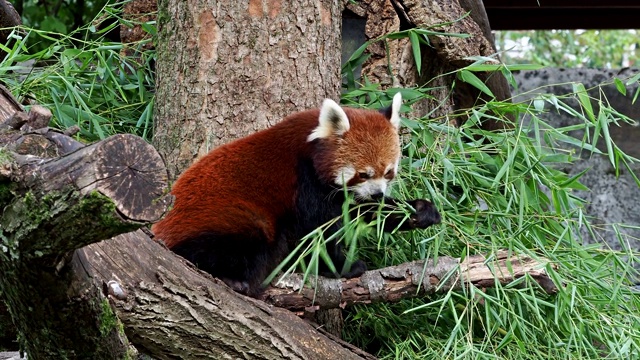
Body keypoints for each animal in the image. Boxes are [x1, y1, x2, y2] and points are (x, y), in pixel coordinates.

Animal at [151, 94, 440, 296]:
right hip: (227, 220)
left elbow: (358, 212)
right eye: (363, 174)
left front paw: (418, 210)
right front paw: (343, 267)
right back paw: (232, 278)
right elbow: (316, 233)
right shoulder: (304, 181)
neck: (311, 148)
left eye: (388, 172)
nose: (378, 193)